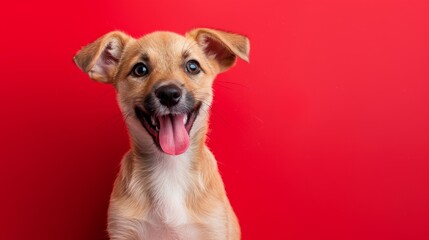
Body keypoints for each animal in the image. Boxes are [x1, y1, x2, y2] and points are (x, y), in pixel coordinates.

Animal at [72, 28, 247, 240]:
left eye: (193, 66)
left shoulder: (214, 228)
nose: (169, 94)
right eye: (140, 69)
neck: (169, 167)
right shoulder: (123, 229)